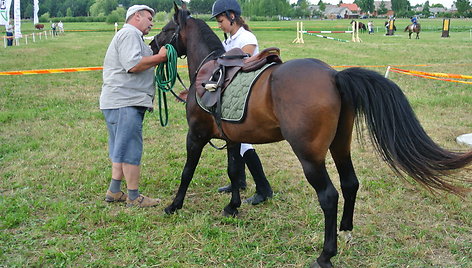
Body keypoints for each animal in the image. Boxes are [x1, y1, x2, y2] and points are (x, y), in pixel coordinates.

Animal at [153, 4, 470, 268]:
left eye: (168, 29)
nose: (154, 43)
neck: (209, 72)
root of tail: (333, 75)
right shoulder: (232, 138)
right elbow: (234, 170)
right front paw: (233, 206)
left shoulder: (195, 135)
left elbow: (187, 172)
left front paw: (174, 205)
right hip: (340, 147)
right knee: (350, 184)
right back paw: (346, 230)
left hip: (309, 157)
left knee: (329, 196)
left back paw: (326, 254)